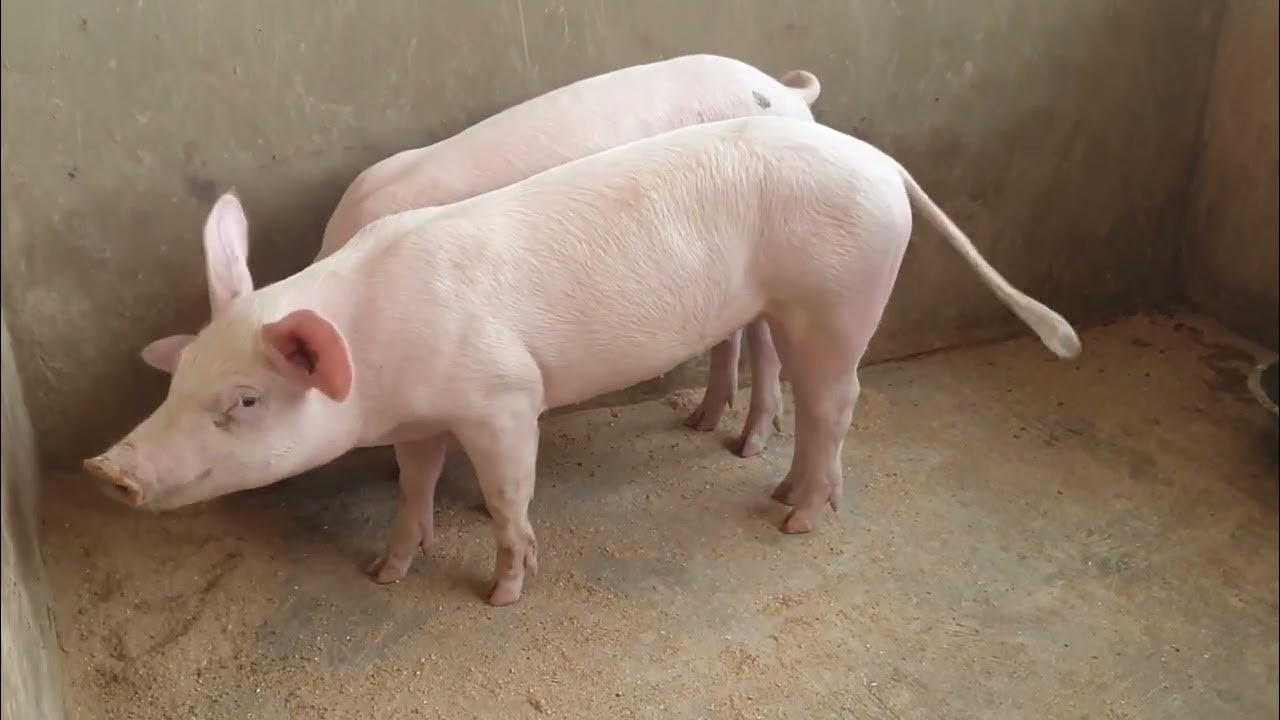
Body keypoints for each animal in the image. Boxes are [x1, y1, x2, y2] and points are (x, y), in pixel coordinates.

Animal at [85, 116, 1081, 607]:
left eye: (246, 401)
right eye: (178, 379)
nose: (108, 469)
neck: (381, 348)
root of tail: (881, 162)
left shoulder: (502, 398)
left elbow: (506, 496)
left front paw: (502, 596)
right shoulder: (421, 417)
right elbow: (413, 488)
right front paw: (386, 573)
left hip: (839, 297)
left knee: (840, 401)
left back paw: (797, 519)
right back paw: (773, 491)